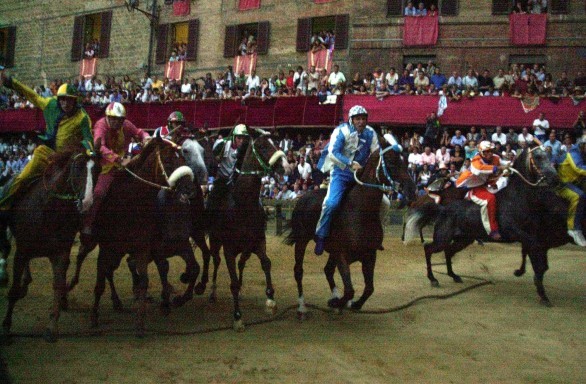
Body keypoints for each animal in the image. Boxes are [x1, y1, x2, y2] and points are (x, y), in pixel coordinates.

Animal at [0, 147, 97, 342]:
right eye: (78, 167)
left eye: (95, 171)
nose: (87, 202)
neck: (48, 209)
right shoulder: (22, 250)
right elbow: (13, 290)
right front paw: (6, 327)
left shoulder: (60, 253)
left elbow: (58, 286)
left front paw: (52, 327)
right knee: (6, 246)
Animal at [206, 127, 288, 332]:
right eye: (262, 146)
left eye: (277, 143)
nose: (286, 167)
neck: (242, 204)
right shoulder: (228, 248)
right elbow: (233, 282)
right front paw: (237, 317)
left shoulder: (258, 241)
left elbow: (266, 263)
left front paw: (270, 300)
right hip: (215, 242)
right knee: (216, 261)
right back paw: (212, 292)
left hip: (246, 249)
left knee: (242, 262)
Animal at [282, 135, 416, 318]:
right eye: (390, 161)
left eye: (404, 160)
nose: (412, 190)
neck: (359, 212)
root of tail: (303, 197)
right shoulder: (341, 255)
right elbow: (350, 290)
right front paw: (337, 302)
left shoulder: (369, 255)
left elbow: (369, 288)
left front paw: (351, 304)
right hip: (302, 241)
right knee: (299, 271)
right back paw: (303, 307)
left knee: (327, 271)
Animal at [402, 147, 560, 306]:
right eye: (538, 157)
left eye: (547, 155)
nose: (555, 178)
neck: (516, 198)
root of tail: (442, 208)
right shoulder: (517, 233)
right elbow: (535, 253)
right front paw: (541, 291)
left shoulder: (527, 234)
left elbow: (528, 252)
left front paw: (522, 273)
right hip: (442, 238)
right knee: (428, 249)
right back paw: (433, 279)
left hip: (463, 240)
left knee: (448, 251)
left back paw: (454, 275)